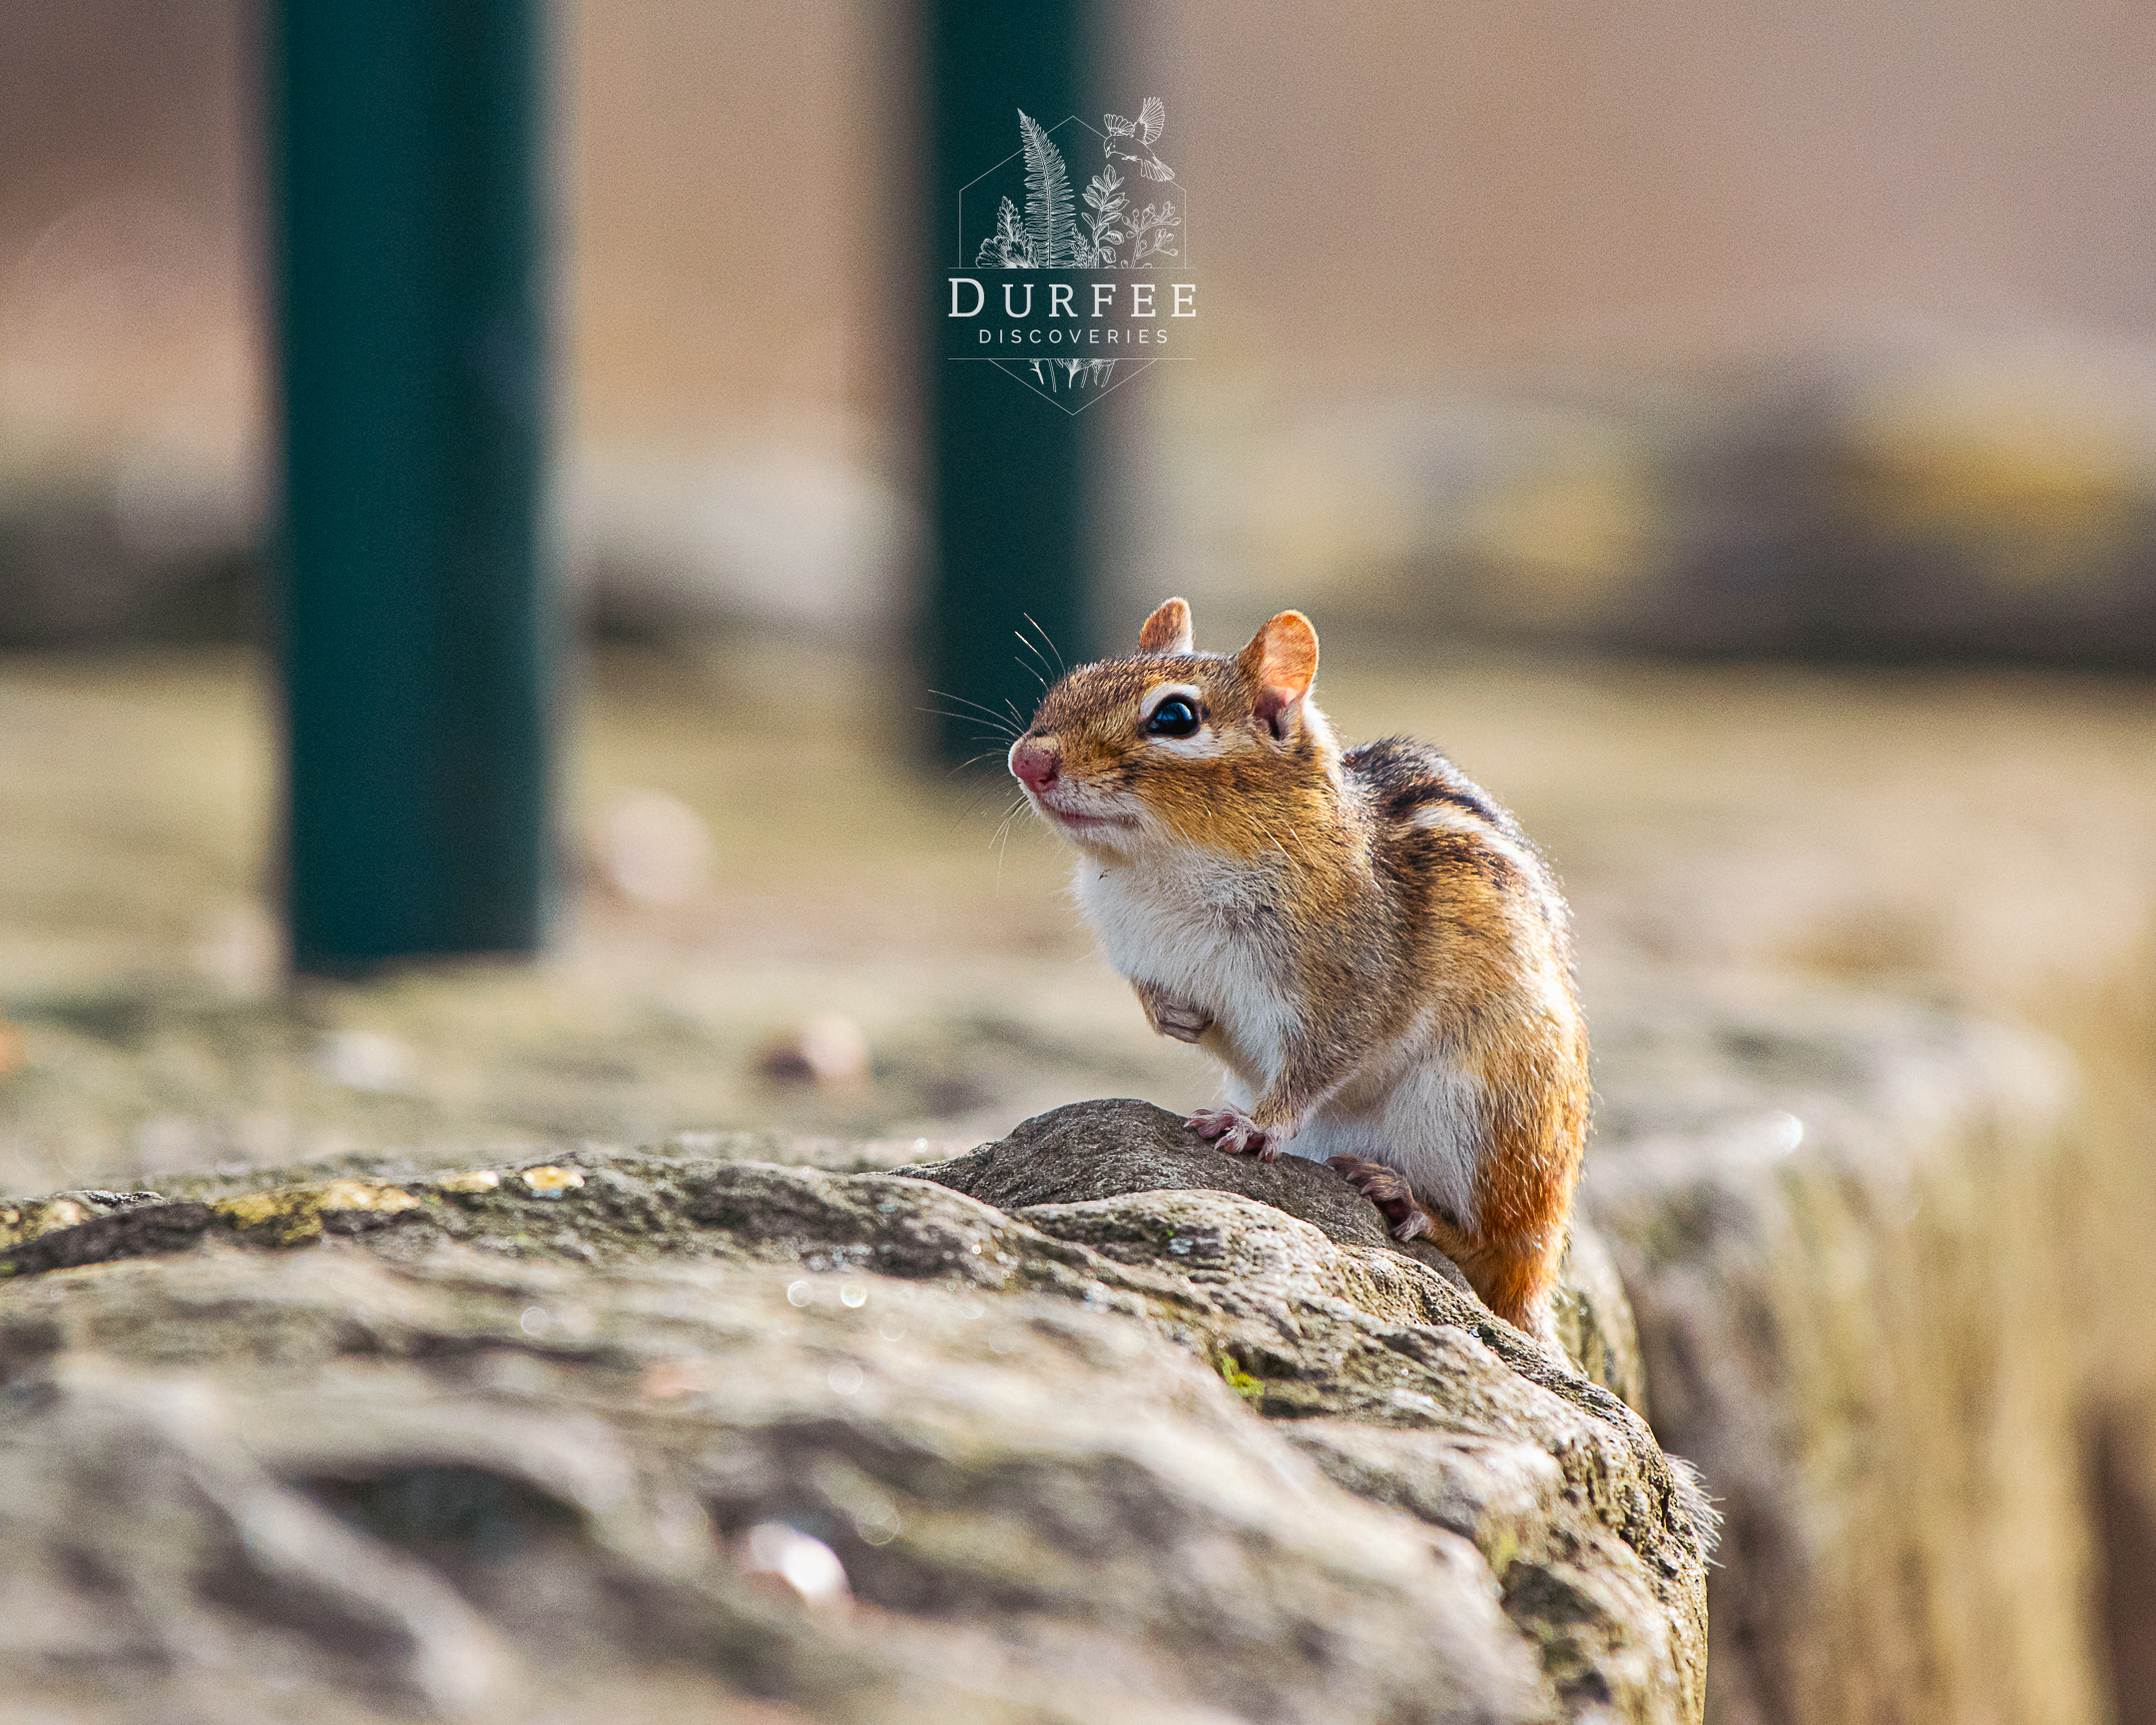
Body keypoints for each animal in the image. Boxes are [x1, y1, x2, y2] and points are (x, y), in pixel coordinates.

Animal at [1006, 598, 1589, 1339]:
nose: (1028, 760)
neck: (1162, 868)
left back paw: (1408, 1204)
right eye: (1073, 681)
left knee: (1494, 1249)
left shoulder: (1351, 989)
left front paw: (1252, 1125)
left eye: (1175, 717)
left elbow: (1316, 1065)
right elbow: (1161, 997)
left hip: (1478, 1119)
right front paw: (1175, 1016)